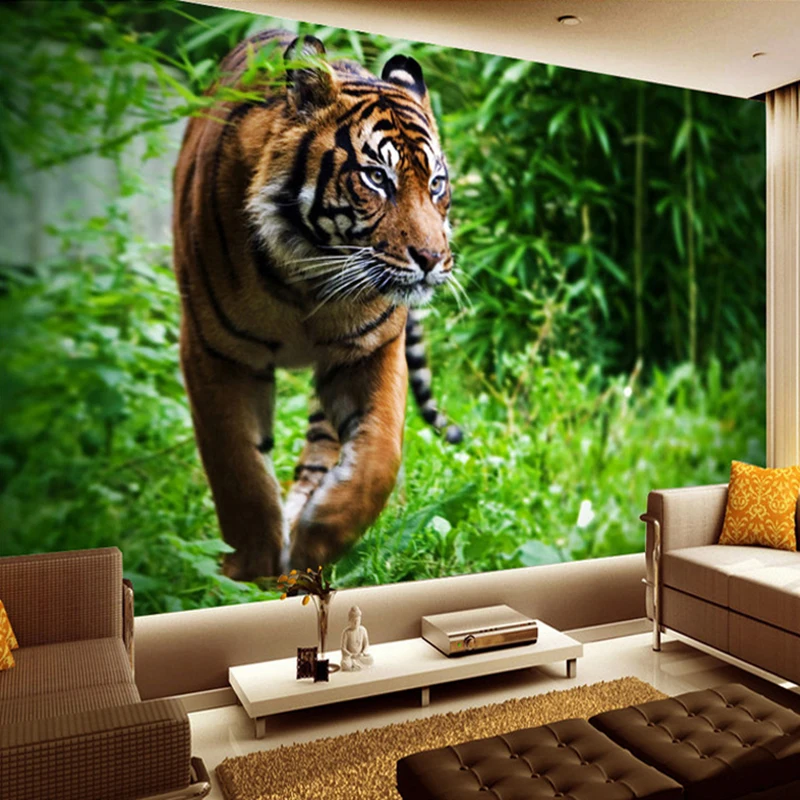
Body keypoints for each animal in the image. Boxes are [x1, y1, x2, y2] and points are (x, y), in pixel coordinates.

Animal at [172, 30, 461, 581]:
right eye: (377, 179)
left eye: (436, 183)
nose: (433, 259)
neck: (307, 279)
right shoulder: (214, 351)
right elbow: (236, 464)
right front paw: (250, 568)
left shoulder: (371, 349)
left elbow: (378, 457)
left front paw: (316, 544)